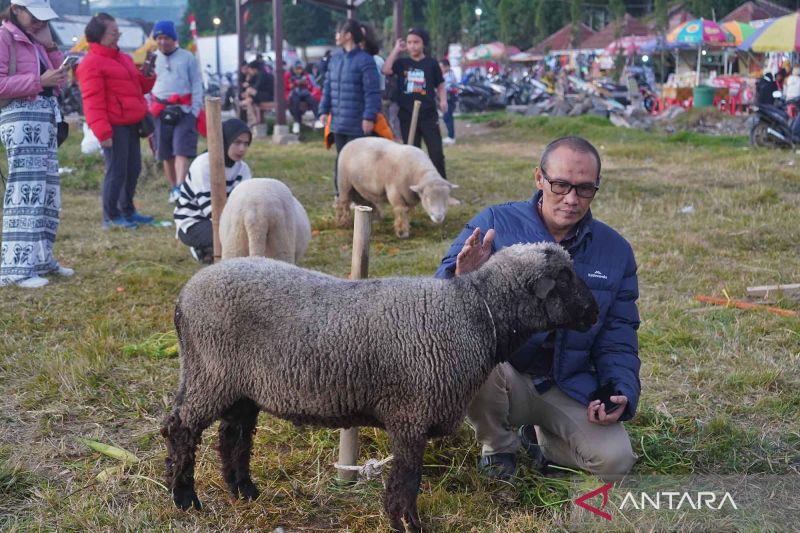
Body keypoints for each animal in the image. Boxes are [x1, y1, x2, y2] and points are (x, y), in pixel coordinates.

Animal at [162, 242, 596, 532]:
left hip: (241, 386)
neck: (472, 312)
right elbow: (407, 479)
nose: (594, 313)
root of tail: (184, 296)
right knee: (180, 428)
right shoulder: (411, 415)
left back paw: (244, 491)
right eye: (564, 277)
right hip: (210, 373)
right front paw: (407, 523)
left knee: (233, 435)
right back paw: (185, 499)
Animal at [332, 136, 460, 238]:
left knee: (362, 200)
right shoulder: (395, 192)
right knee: (343, 202)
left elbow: (407, 211)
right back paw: (343, 222)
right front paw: (402, 232)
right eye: (427, 199)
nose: (439, 217)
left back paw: (374, 217)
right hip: (344, 182)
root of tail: (351, 142)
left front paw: (405, 227)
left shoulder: (408, 196)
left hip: (360, 186)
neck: (418, 174)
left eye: (446, 199)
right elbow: (401, 211)